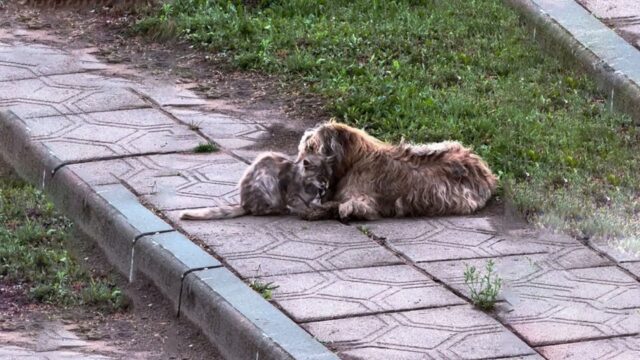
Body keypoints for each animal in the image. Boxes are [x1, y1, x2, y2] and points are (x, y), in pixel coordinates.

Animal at [179, 151, 330, 221]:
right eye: (319, 176)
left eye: (328, 175)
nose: (324, 184)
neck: (310, 187)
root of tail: (244, 204)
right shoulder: (291, 195)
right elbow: (300, 204)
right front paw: (309, 212)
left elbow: (309, 204)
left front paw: (315, 208)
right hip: (267, 183)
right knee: (259, 212)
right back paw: (280, 210)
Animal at [298, 122, 498, 221]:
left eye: (312, 147)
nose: (303, 162)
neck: (355, 159)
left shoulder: (361, 200)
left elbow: (344, 206)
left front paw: (316, 210)